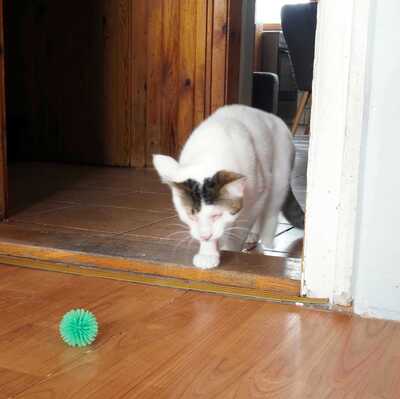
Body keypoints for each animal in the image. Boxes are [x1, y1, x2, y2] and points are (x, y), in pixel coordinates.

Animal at [153, 104, 304, 270]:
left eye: (217, 215)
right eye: (191, 215)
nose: (204, 236)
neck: (209, 153)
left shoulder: (257, 195)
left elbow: (242, 226)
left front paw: (231, 249)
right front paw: (208, 253)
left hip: (279, 174)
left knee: (271, 207)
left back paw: (267, 239)